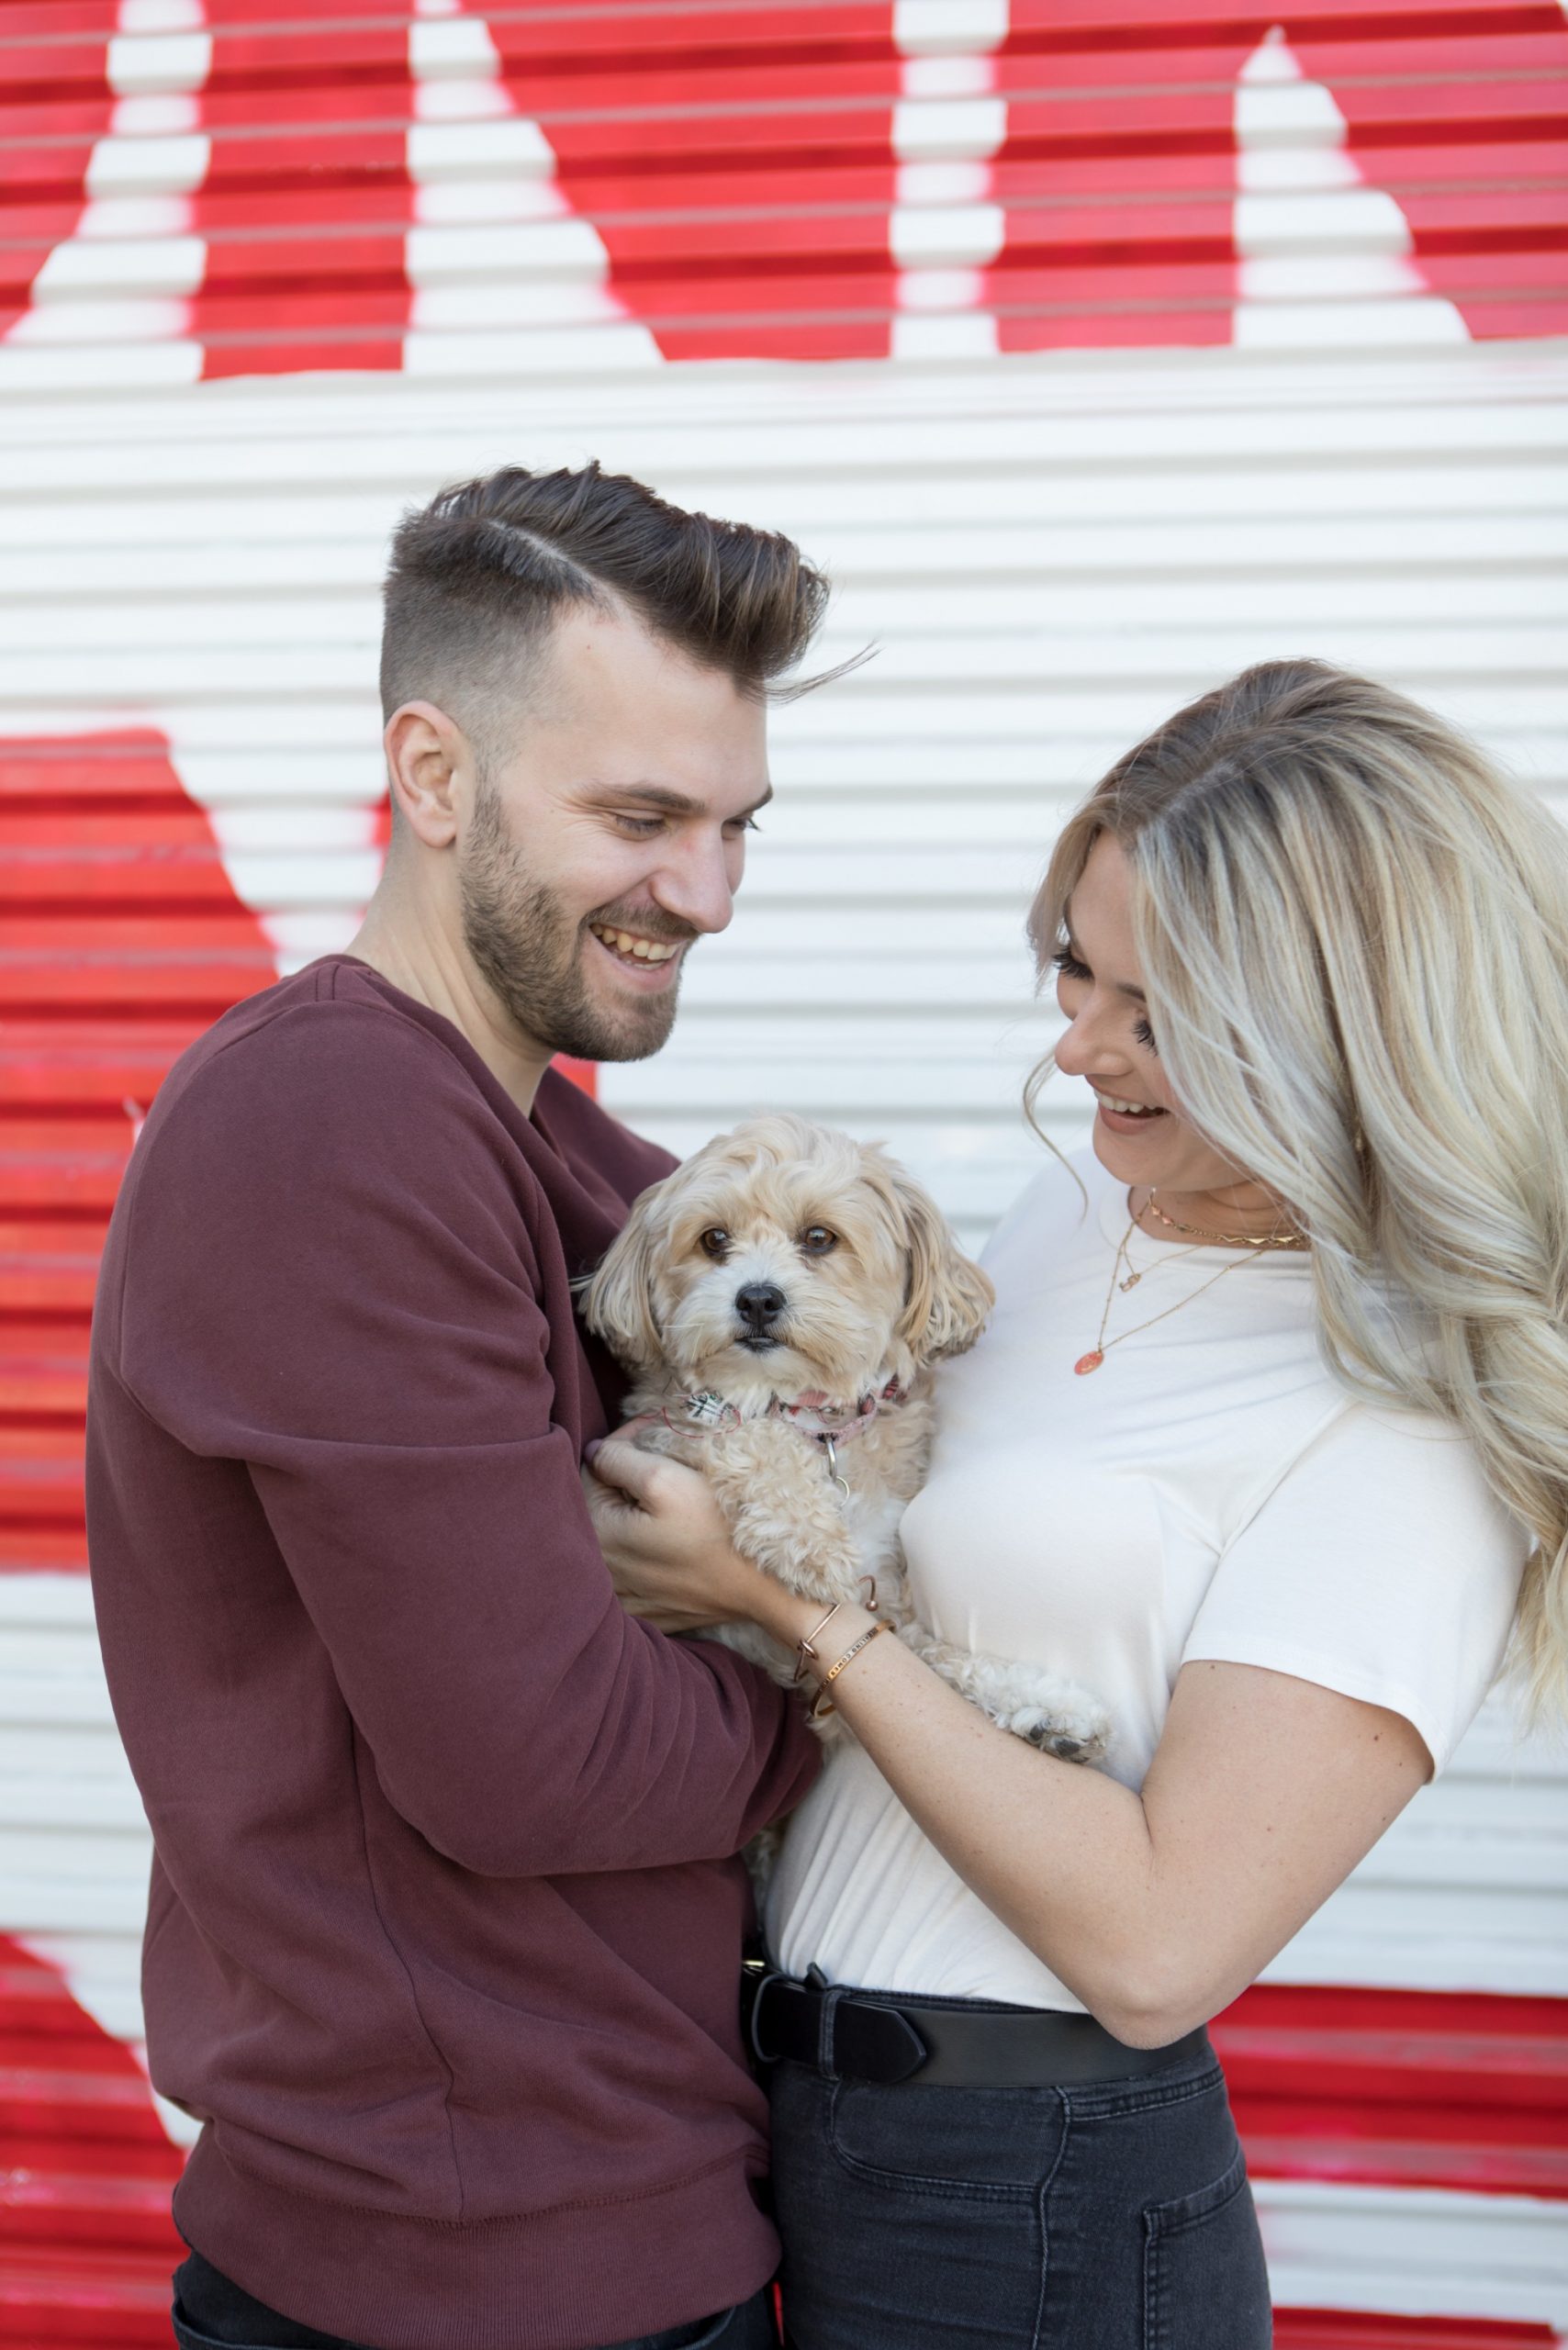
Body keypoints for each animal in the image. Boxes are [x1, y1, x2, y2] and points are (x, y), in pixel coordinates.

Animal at [583, 1118, 1109, 1767]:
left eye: (818, 1237)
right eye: (713, 1240)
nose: (757, 1298)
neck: (815, 1419)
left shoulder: (877, 1611)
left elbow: (929, 1658)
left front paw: (1044, 1706)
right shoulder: (671, 1427)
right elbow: (746, 1431)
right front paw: (811, 1543)